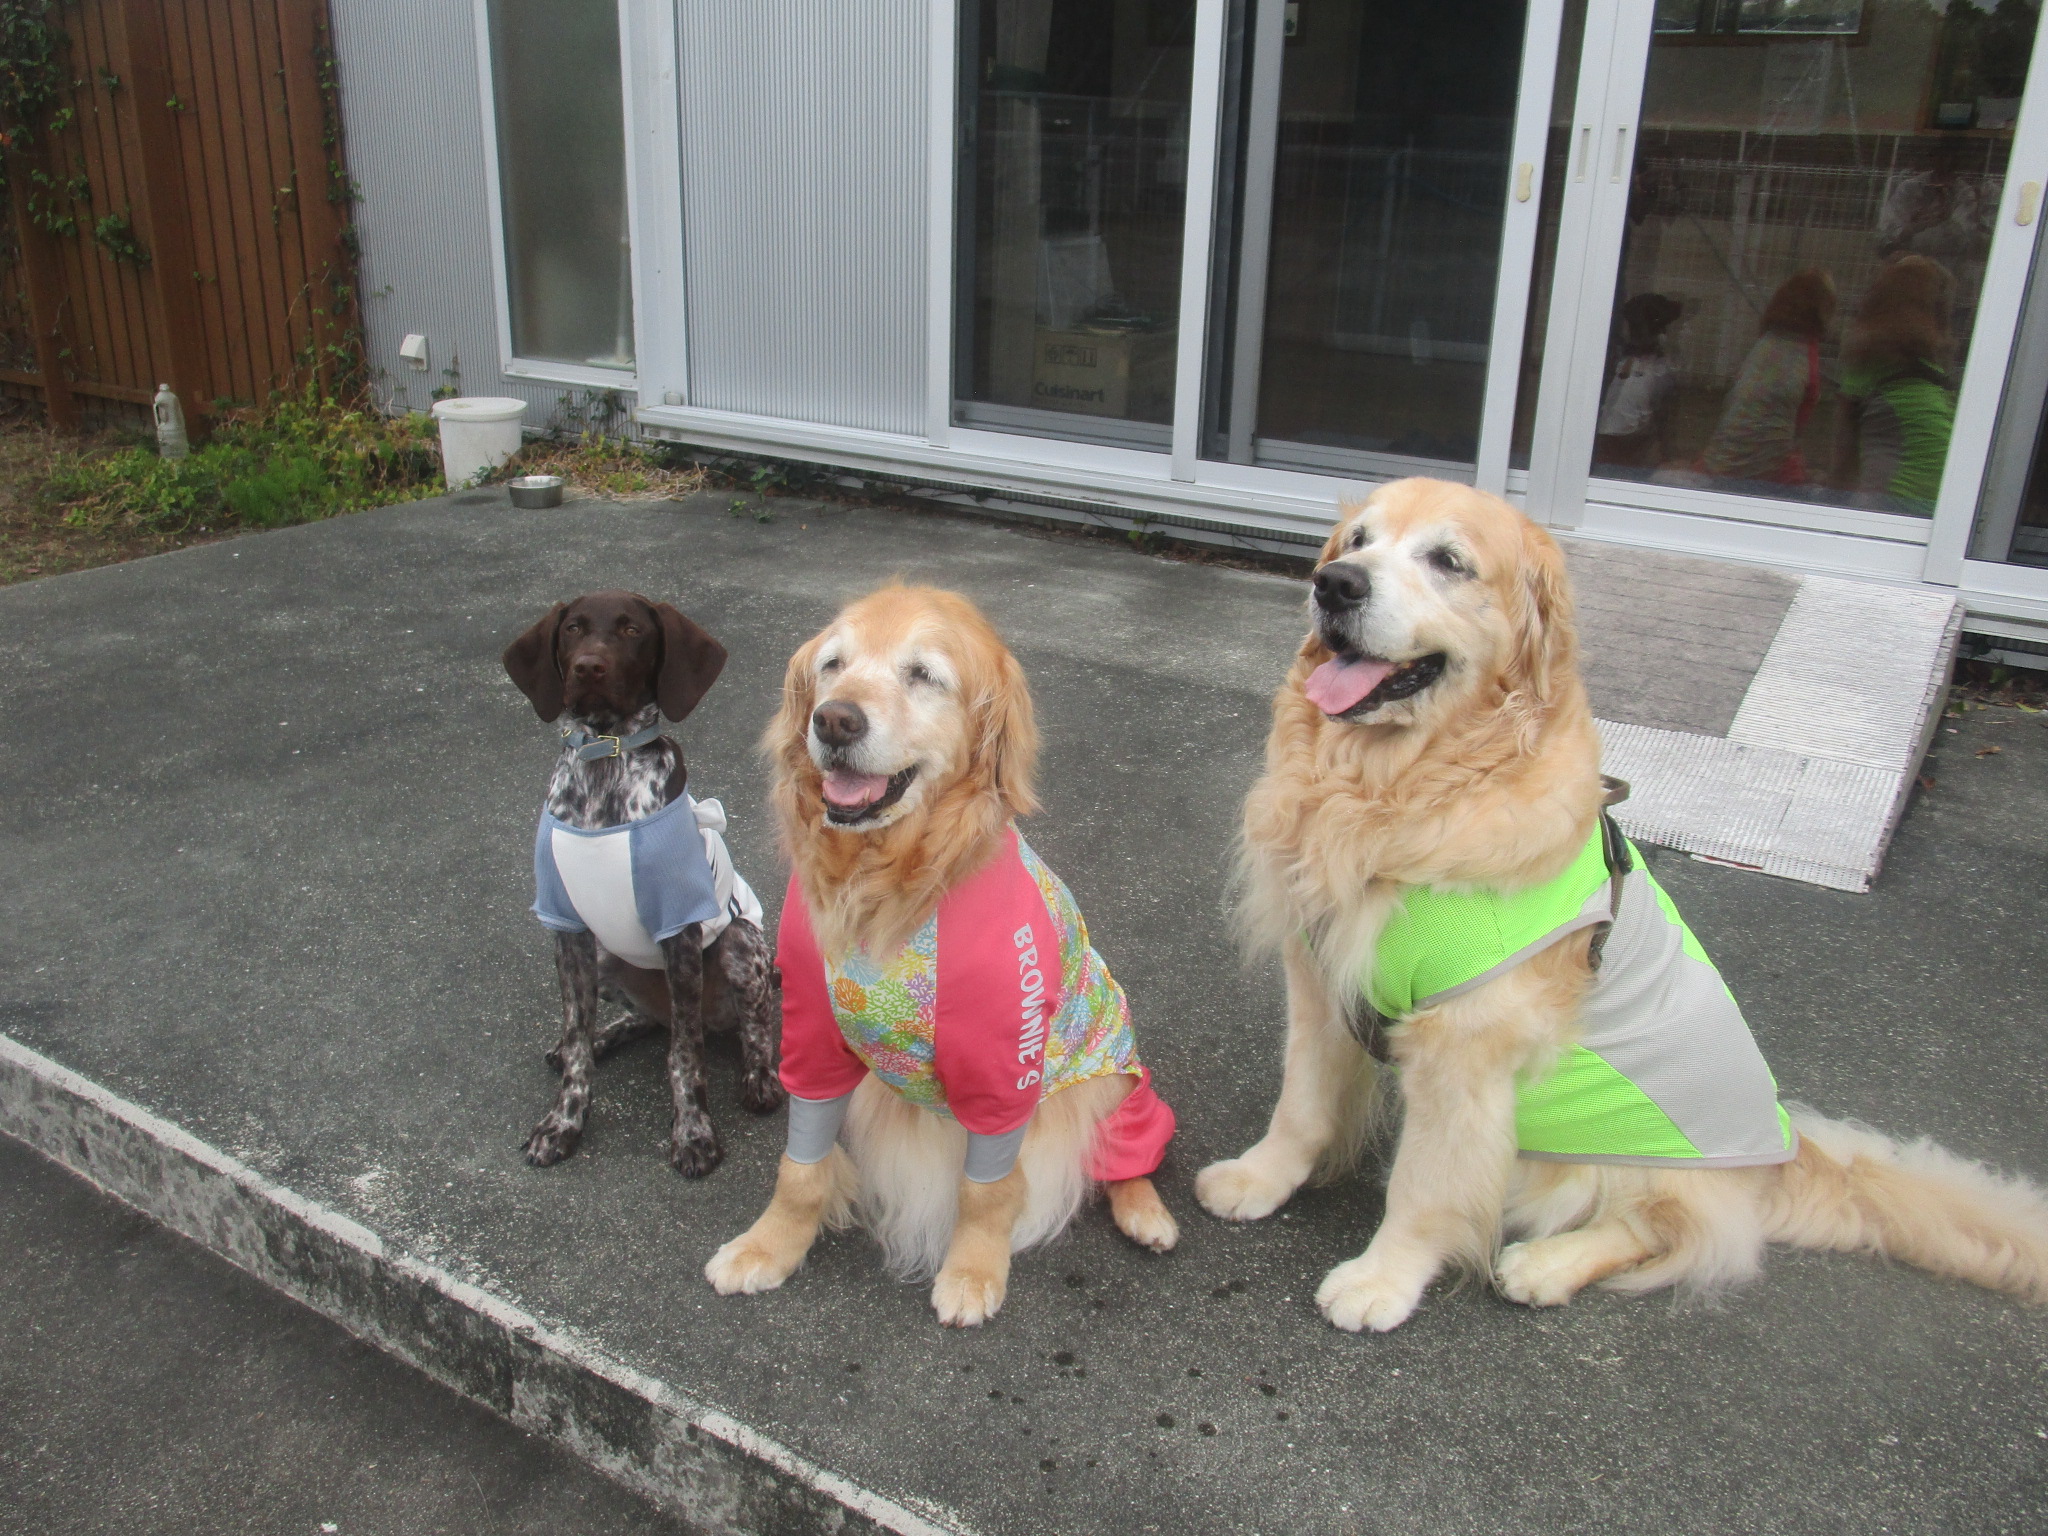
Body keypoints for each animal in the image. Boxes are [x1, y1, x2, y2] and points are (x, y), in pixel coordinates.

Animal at [503, 590, 784, 1177]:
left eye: (632, 629)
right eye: (572, 628)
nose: (589, 667)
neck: (605, 761)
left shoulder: (678, 926)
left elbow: (686, 1057)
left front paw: (694, 1133)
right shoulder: (566, 928)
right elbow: (576, 1034)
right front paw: (563, 1122)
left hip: (740, 940)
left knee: (740, 1026)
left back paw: (759, 1079)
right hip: (607, 958)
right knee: (646, 1022)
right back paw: (602, 1038)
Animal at [704, 584, 1178, 1325]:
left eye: (923, 675)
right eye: (833, 665)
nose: (834, 720)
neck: (887, 883)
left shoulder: (1001, 1066)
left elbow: (987, 1190)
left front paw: (973, 1272)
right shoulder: (810, 1043)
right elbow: (801, 1169)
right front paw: (769, 1246)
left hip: (1114, 1076)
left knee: (1126, 1149)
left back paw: (1146, 1212)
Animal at [1196, 477, 2048, 1331]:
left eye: (1448, 560)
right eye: (1356, 542)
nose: (1334, 585)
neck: (1400, 792)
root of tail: (1779, 1152)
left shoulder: (1464, 1043)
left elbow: (1424, 1185)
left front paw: (1384, 1279)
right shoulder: (1321, 976)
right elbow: (1302, 1103)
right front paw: (1261, 1177)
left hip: (1602, 1167)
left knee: (1671, 1229)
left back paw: (1547, 1263)